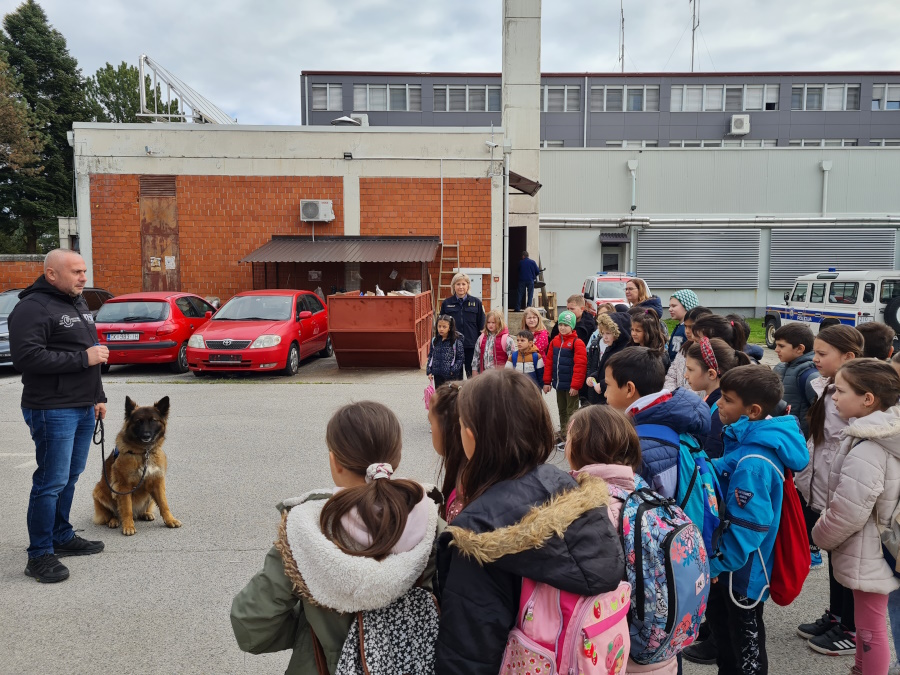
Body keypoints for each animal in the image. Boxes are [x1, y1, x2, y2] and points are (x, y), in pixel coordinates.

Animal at [92, 396, 181, 536]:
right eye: (139, 421)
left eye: (153, 420)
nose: (146, 435)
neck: (144, 452)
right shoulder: (123, 486)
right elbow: (126, 508)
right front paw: (128, 526)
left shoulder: (157, 482)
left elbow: (164, 504)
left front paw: (170, 520)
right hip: (99, 491)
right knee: (112, 514)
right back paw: (114, 520)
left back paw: (146, 513)